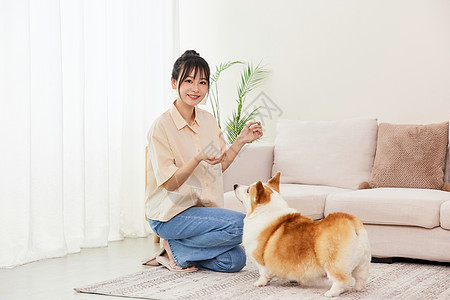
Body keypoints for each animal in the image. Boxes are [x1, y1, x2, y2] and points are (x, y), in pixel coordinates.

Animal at [234, 172, 370, 296]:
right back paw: (359, 289)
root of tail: (351, 222)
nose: (235, 185)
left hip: (334, 263)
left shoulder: (260, 261)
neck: (265, 210)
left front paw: (259, 283)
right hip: (362, 263)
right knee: (360, 278)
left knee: (343, 281)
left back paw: (331, 293)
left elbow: (263, 274)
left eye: (248, 190)